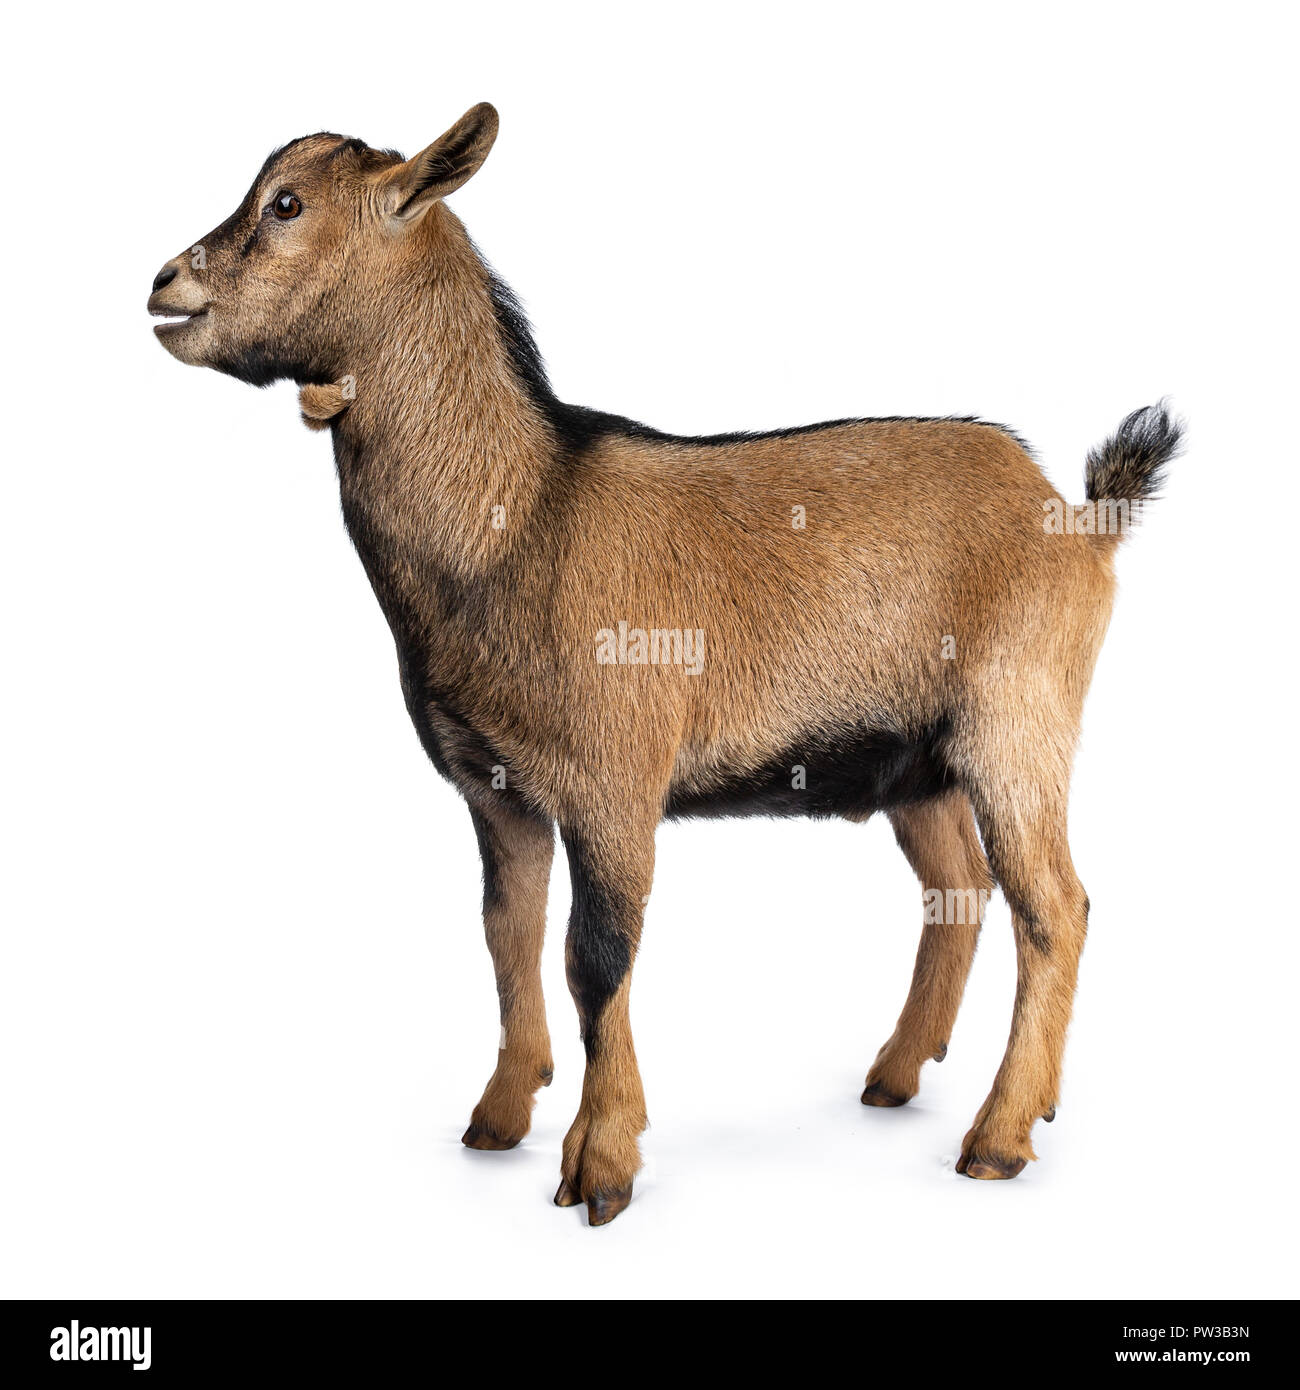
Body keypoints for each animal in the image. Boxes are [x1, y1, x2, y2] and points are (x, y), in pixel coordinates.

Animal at [148, 103, 1181, 1225]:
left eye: (286, 204)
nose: (164, 283)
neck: (522, 515)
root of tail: (1079, 518)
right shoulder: (495, 787)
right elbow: (507, 933)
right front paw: (498, 1117)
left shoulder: (615, 780)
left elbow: (594, 958)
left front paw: (599, 1166)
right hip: (920, 761)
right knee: (959, 888)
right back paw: (900, 1075)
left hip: (1018, 723)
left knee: (1055, 905)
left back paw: (998, 1134)